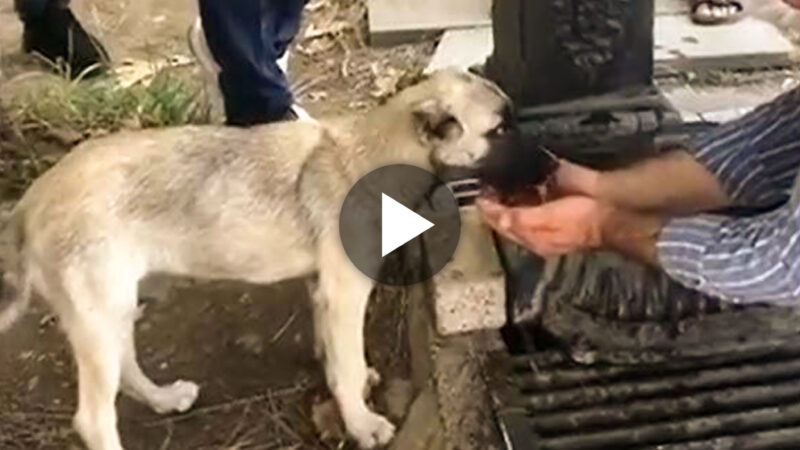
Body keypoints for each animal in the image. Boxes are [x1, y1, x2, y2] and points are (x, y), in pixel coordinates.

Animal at [0, 69, 512, 450]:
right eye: (500, 129)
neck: (378, 150)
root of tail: (30, 199)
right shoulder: (345, 293)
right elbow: (345, 364)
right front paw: (361, 424)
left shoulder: (321, 289)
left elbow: (337, 356)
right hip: (99, 314)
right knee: (92, 418)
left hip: (115, 309)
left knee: (125, 367)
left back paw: (163, 398)